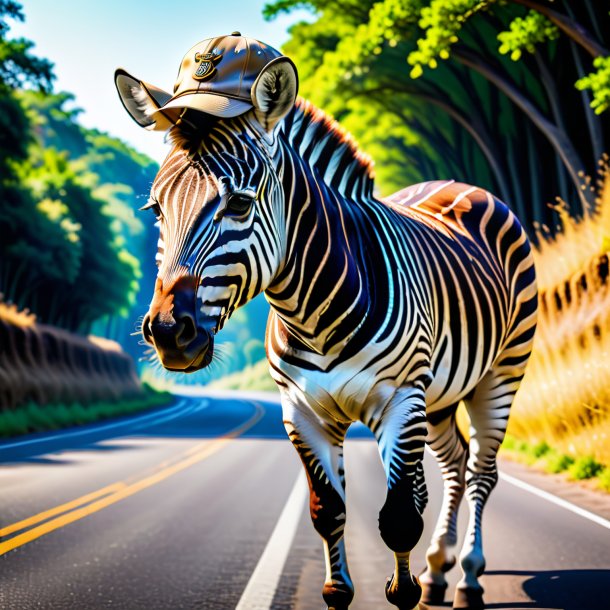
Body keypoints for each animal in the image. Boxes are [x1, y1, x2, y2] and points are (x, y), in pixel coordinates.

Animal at [114, 45, 532, 604]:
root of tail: (462, 184)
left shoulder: (402, 401)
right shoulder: (303, 413)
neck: (313, 314)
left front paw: (403, 590)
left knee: (482, 470)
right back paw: (438, 568)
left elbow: (399, 519)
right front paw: (340, 589)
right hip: (442, 392)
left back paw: (467, 575)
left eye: (239, 203)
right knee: (455, 464)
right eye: (157, 209)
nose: (166, 332)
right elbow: (328, 512)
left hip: (500, 373)